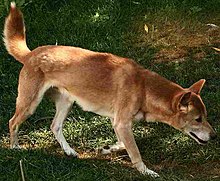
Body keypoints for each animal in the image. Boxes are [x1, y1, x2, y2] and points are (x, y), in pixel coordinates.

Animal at [3, 2, 217, 177]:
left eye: (205, 116)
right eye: (198, 119)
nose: (215, 136)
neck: (144, 88)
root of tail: (31, 54)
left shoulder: (119, 123)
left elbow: (123, 144)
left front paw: (107, 149)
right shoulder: (121, 123)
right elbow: (135, 152)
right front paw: (146, 171)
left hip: (66, 102)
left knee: (55, 126)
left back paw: (69, 151)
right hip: (30, 103)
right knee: (13, 122)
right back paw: (15, 147)